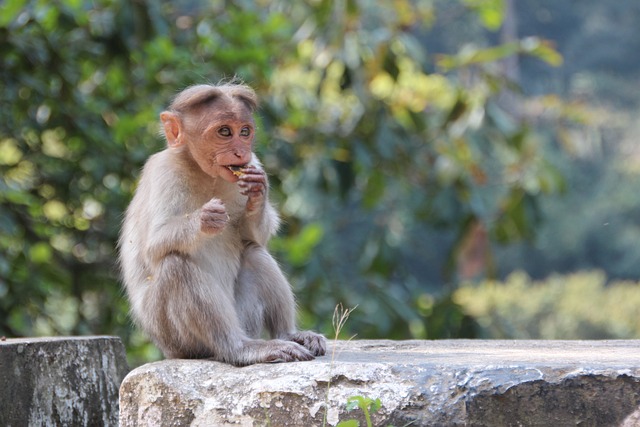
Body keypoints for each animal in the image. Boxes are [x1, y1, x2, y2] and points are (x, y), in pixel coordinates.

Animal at [118, 83, 326, 366]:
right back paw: (239, 348)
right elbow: (154, 244)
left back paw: (289, 334)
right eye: (225, 132)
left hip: (245, 318)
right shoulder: (165, 172)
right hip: (177, 338)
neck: (205, 172)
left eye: (245, 132)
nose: (241, 151)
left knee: (253, 252)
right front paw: (205, 219)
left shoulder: (254, 162)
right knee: (176, 265)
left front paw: (258, 193)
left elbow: (255, 237)